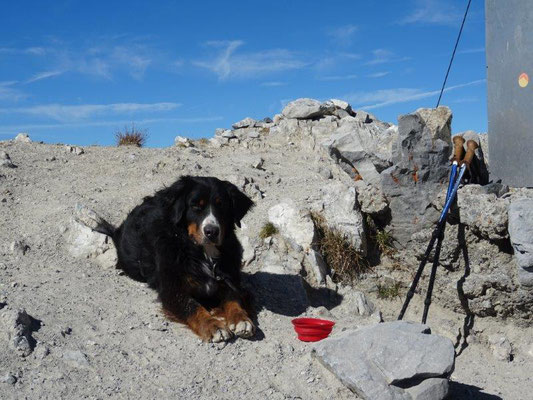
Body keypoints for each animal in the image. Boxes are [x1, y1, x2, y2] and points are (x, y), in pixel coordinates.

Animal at [93, 177, 254, 342]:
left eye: (221, 205)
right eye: (195, 205)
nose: (211, 231)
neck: (203, 255)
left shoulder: (229, 277)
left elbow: (233, 298)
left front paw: (241, 319)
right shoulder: (172, 290)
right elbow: (193, 307)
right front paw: (214, 326)